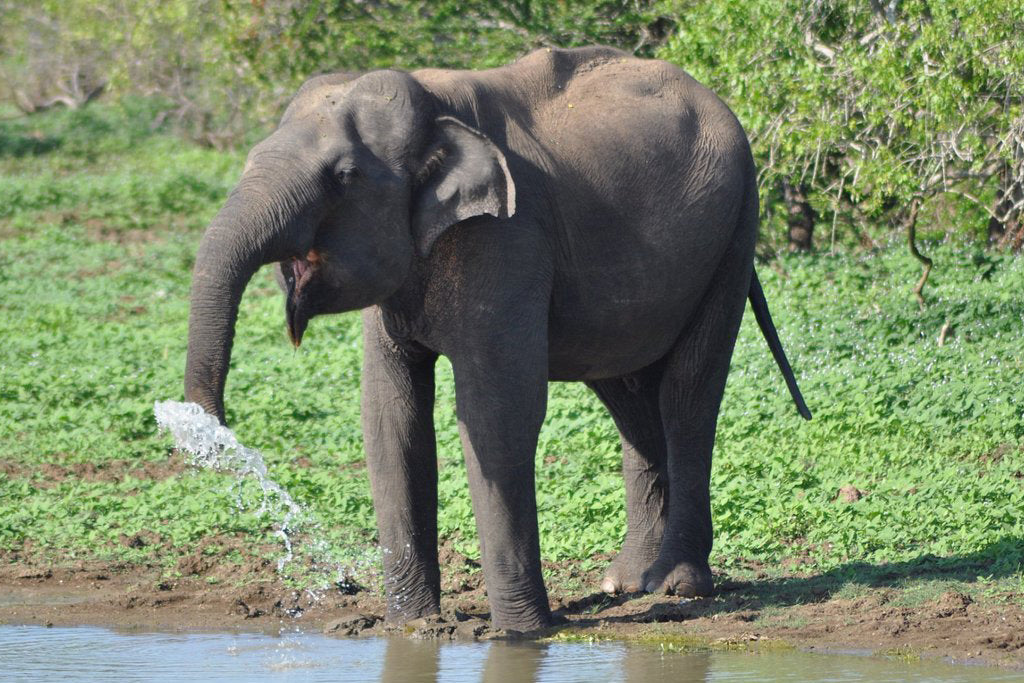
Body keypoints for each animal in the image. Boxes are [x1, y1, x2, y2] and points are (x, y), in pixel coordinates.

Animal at [182, 46, 806, 634]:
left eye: (344, 176)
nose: (209, 433)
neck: (435, 106)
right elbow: (391, 419)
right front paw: (412, 628)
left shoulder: (508, 236)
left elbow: (495, 413)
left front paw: (521, 635)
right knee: (627, 396)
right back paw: (628, 584)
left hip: (734, 231)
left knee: (687, 396)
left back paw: (678, 587)